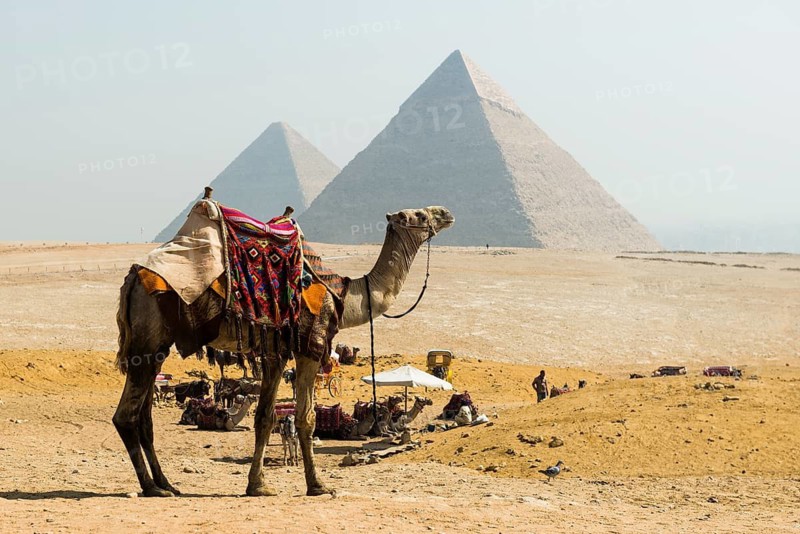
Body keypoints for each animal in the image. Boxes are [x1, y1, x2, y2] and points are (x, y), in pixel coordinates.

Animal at [112, 205, 453, 497]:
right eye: (418, 215)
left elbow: (265, 416)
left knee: (144, 418)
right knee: (126, 416)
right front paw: (317, 485)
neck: (344, 294)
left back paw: (166, 483)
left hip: (156, 349)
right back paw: (152, 487)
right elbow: (306, 417)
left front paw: (257, 485)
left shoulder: (276, 351)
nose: (446, 213)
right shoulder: (309, 346)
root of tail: (131, 279)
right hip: (147, 341)